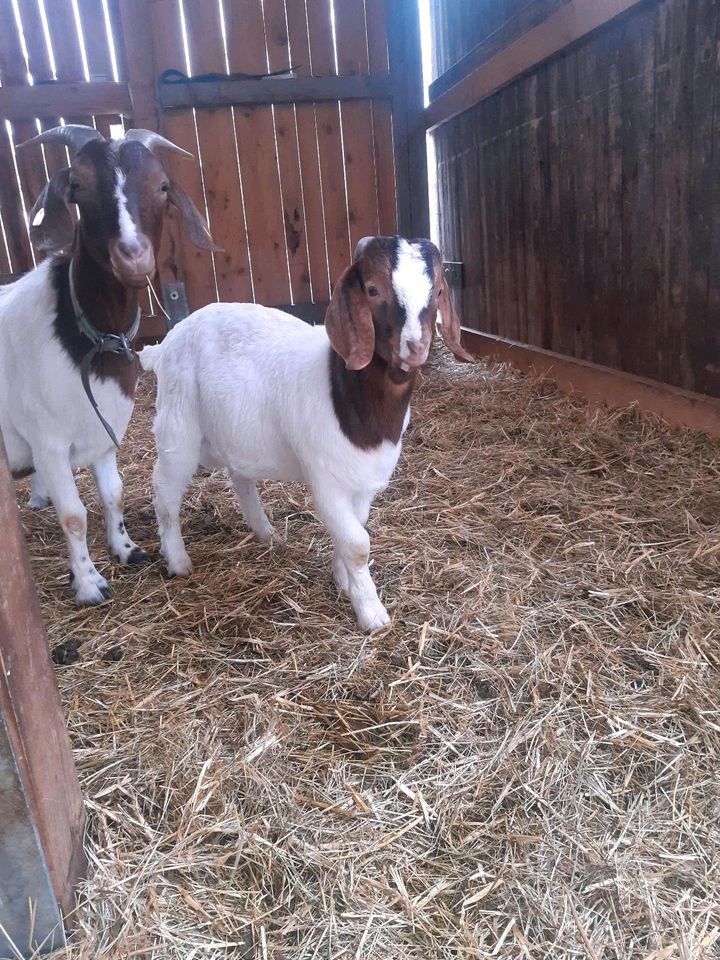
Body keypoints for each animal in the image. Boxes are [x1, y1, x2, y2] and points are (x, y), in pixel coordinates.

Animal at [0, 124, 219, 604]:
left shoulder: (104, 432)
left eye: (161, 186)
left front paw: (126, 549)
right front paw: (88, 583)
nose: (133, 256)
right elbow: (73, 515)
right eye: (77, 186)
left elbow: (114, 495)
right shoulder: (48, 442)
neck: (85, 336)